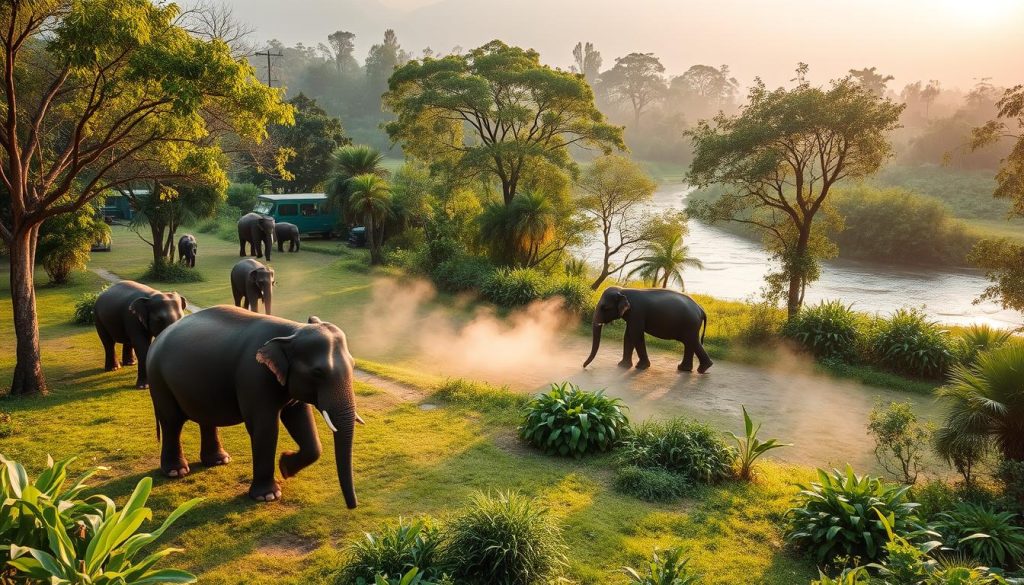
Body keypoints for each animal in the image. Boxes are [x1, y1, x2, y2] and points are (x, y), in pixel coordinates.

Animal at [145, 305, 363, 505]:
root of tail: (157, 340)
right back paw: (177, 471)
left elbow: (302, 422)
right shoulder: (254, 376)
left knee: (206, 418)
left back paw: (218, 460)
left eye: (353, 365)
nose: (352, 505)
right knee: (172, 421)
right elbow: (265, 428)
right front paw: (268, 496)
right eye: (318, 372)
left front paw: (285, 467)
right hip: (158, 379)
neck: (292, 330)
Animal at [583, 286, 713, 373]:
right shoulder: (632, 315)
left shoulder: (637, 312)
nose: (584, 366)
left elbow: (636, 334)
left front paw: (640, 367)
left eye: (605, 308)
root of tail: (701, 309)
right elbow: (628, 335)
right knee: (690, 343)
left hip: (690, 324)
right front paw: (622, 366)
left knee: (692, 341)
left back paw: (700, 369)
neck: (623, 290)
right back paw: (686, 369)